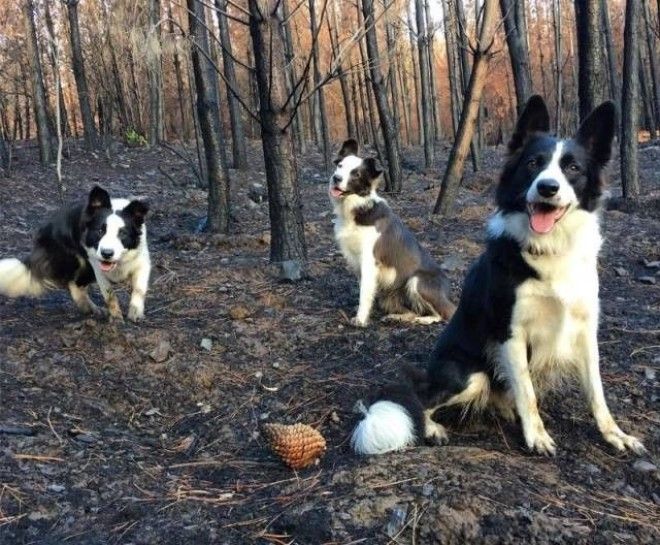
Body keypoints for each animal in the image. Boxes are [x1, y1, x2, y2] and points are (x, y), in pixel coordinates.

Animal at [0, 185, 151, 320]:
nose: (106, 253)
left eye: (122, 233)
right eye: (100, 231)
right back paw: (89, 307)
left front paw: (135, 312)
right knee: (73, 284)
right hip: (78, 262)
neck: (118, 262)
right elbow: (109, 294)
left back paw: (91, 308)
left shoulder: (142, 263)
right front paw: (116, 316)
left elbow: (139, 289)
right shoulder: (97, 268)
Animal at [328, 140, 454, 328]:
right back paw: (397, 317)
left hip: (416, 280)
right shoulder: (357, 261)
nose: (336, 178)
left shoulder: (369, 261)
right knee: (412, 310)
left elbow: (364, 293)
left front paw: (360, 319)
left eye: (355, 174)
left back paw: (424, 319)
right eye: (340, 166)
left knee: (445, 313)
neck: (358, 208)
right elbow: (365, 291)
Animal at [350, 96, 644, 454]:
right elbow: (527, 393)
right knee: (422, 401)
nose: (547, 188)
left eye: (573, 168)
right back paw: (434, 427)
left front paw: (615, 433)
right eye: (533, 163)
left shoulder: (585, 329)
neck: (548, 249)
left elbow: (596, 392)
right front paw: (537, 436)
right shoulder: (510, 332)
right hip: (470, 374)